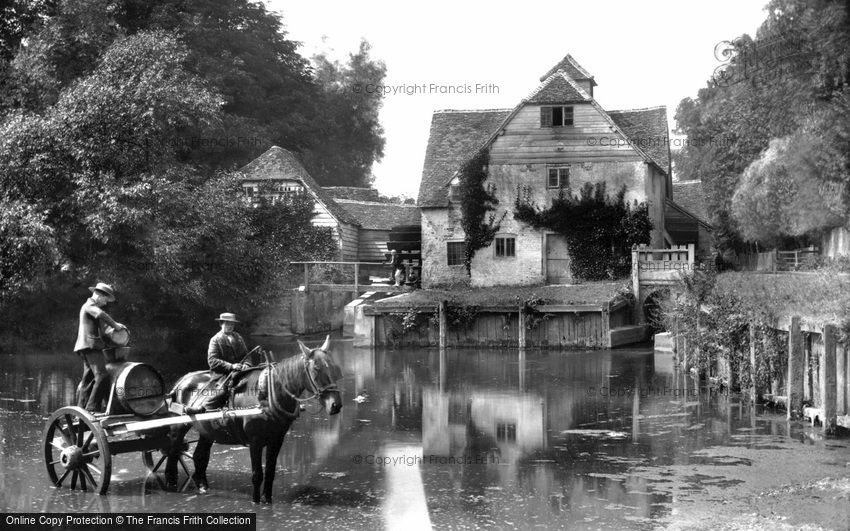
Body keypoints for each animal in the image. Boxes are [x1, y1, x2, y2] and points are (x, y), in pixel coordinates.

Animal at [163, 336, 342, 502]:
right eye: (316, 368)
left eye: (333, 367)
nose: (336, 405)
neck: (267, 393)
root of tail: (181, 381)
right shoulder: (255, 441)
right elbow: (257, 475)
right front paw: (256, 501)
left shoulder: (277, 439)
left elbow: (270, 472)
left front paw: (267, 499)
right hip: (179, 426)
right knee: (173, 452)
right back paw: (171, 483)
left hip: (206, 431)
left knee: (199, 456)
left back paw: (202, 487)